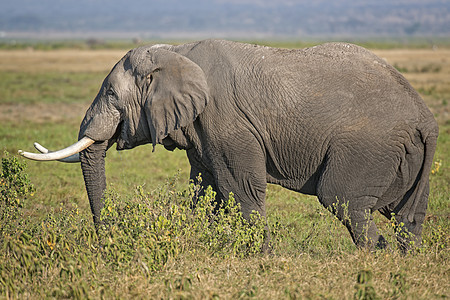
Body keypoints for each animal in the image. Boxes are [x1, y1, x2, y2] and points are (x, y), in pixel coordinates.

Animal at [19, 39, 438, 251]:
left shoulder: (226, 121)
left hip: (369, 147)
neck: (177, 52)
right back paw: (404, 260)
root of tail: (427, 119)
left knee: (343, 199)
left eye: (109, 93)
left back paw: (373, 258)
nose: (105, 241)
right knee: (405, 215)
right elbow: (206, 190)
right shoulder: (201, 130)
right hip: (405, 157)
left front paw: (260, 257)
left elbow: (240, 189)